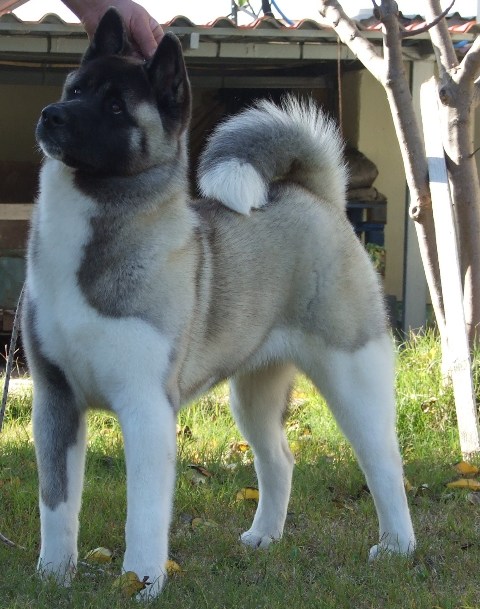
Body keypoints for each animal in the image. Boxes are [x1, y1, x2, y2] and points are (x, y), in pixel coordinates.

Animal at [20, 7, 414, 600]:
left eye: (115, 107)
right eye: (75, 89)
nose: (51, 115)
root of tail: (315, 196)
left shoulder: (146, 410)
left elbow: (144, 514)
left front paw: (141, 583)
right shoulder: (55, 402)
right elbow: (57, 504)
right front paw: (52, 576)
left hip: (353, 378)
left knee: (384, 462)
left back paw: (397, 547)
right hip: (252, 394)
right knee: (279, 460)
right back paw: (265, 537)